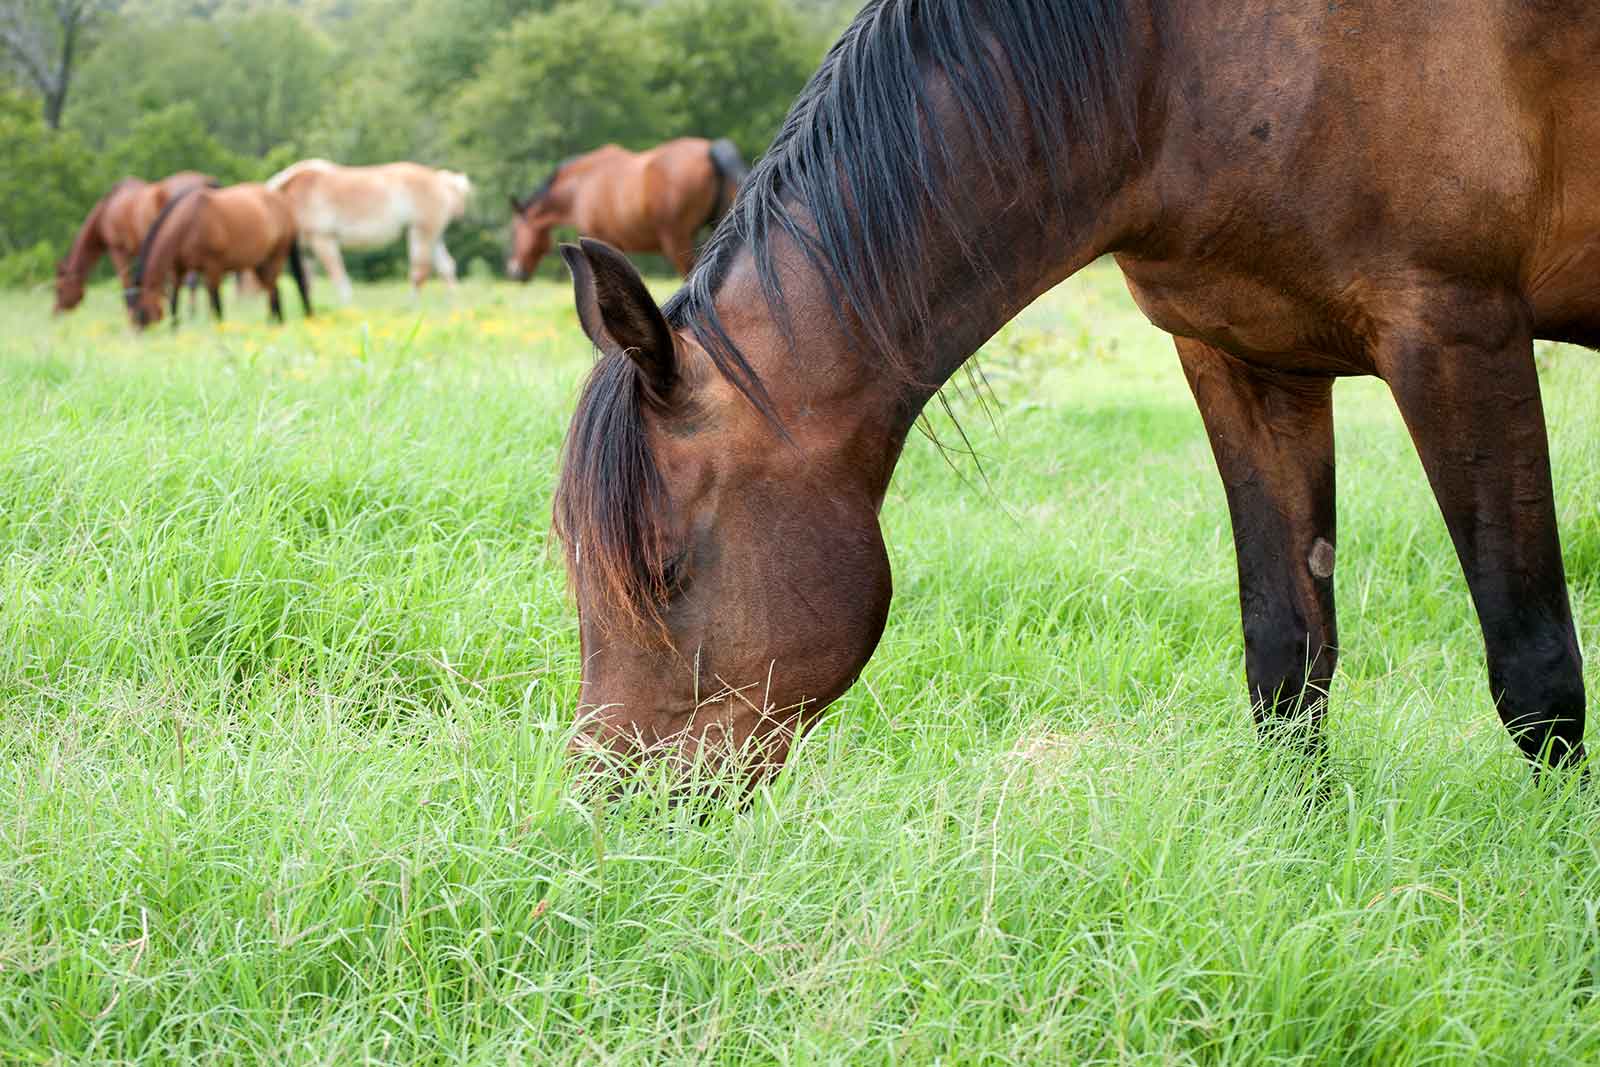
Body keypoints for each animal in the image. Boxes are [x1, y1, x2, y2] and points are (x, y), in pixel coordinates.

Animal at [54, 172, 213, 313]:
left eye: (59, 289)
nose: (55, 313)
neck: (106, 210)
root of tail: (205, 181)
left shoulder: (118, 250)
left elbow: (127, 286)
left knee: (191, 281)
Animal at [125, 183, 311, 330]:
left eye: (140, 312)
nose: (139, 335)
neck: (188, 222)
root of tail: (283, 202)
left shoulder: (213, 267)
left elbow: (216, 303)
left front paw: (219, 330)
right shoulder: (179, 270)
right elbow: (174, 300)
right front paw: (174, 329)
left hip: (275, 257)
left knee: (273, 290)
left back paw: (275, 323)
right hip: (260, 263)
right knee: (274, 290)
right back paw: (274, 322)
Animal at [267, 159, 472, 300]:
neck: (294, 197)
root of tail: (441, 180)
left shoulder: (324, 240)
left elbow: (339, 278)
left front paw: (347, 310)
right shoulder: (306, 250)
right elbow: (307, 285)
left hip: (422, 231)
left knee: (419, 272)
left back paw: (411, 308)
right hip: (435, 235)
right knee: (447, 267)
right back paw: (453, 306)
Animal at [553, 0, 1600, 782]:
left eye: (666, 571)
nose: (609, 798)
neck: (1175, 67)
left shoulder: (1458, 333)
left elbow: (1537, 674)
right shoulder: (1245, 360)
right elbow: (1287, 658)